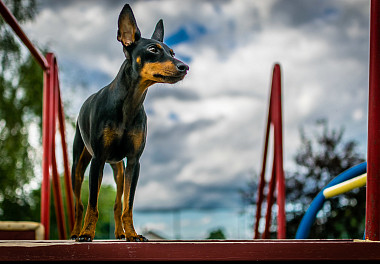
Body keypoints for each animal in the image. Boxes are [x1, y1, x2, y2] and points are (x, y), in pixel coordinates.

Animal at [70, 4, 189, 242]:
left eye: (172, 52)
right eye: (153, 49)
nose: (185, 67)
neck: (129, 104)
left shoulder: (134, 162)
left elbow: (128, 205)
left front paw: (133, 234)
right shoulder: (98, 160)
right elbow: (92, 204)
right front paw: (87, 234)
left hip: (118, 169)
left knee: (117, 203)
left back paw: (119, 233)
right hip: (78, 165)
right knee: (79, 204)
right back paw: (77, 232)